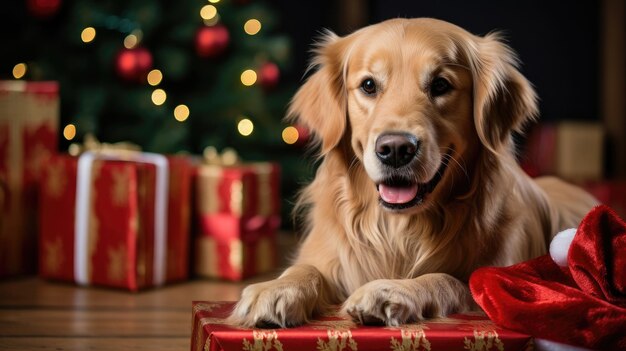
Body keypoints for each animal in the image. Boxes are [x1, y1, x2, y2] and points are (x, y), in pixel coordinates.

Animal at [228, 17, 596, 328]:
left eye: (441, 85)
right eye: (368, 85)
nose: (395, 149)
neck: (400, 229)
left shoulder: (502, 277)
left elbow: (445, 279)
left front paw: (390, 291)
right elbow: (306, 267)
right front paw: (276, 289)